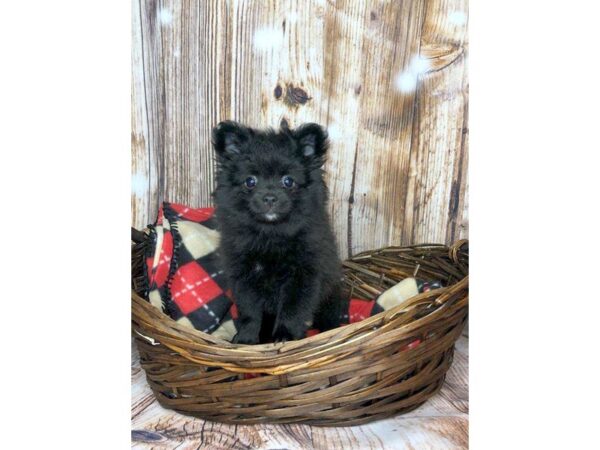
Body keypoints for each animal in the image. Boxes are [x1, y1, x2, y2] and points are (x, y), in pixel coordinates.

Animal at [212, 121, 342, 342]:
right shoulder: (243, 276)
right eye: (250, 181)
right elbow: (250, 311)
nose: (270, 198)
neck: (270, 233)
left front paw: (285, 336)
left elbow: (292, 310)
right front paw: (246, 338)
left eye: (288, 181)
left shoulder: (302, 276)